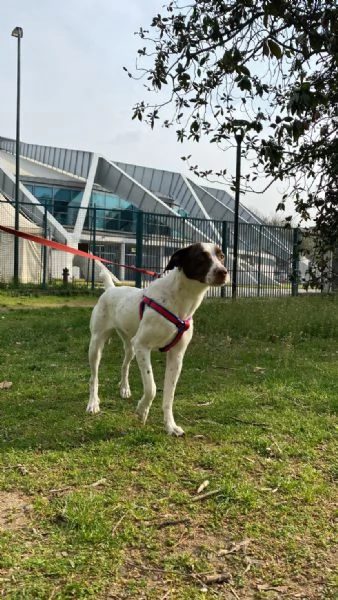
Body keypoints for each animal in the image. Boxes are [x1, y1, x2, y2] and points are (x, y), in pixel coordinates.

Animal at [86, 243, 227, 436]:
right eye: (200, 257)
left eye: (222, 257)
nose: (223, 272)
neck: (180, 300)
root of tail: (110, 288)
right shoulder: (142, 346)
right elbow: (151, 388)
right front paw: (142, 410)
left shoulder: (176, 356)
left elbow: (169, 395)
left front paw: (170, 426)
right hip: (97, 344)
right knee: (94, 377)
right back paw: (93, 403)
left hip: (130, 346)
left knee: (124, 366)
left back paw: (124, 389)